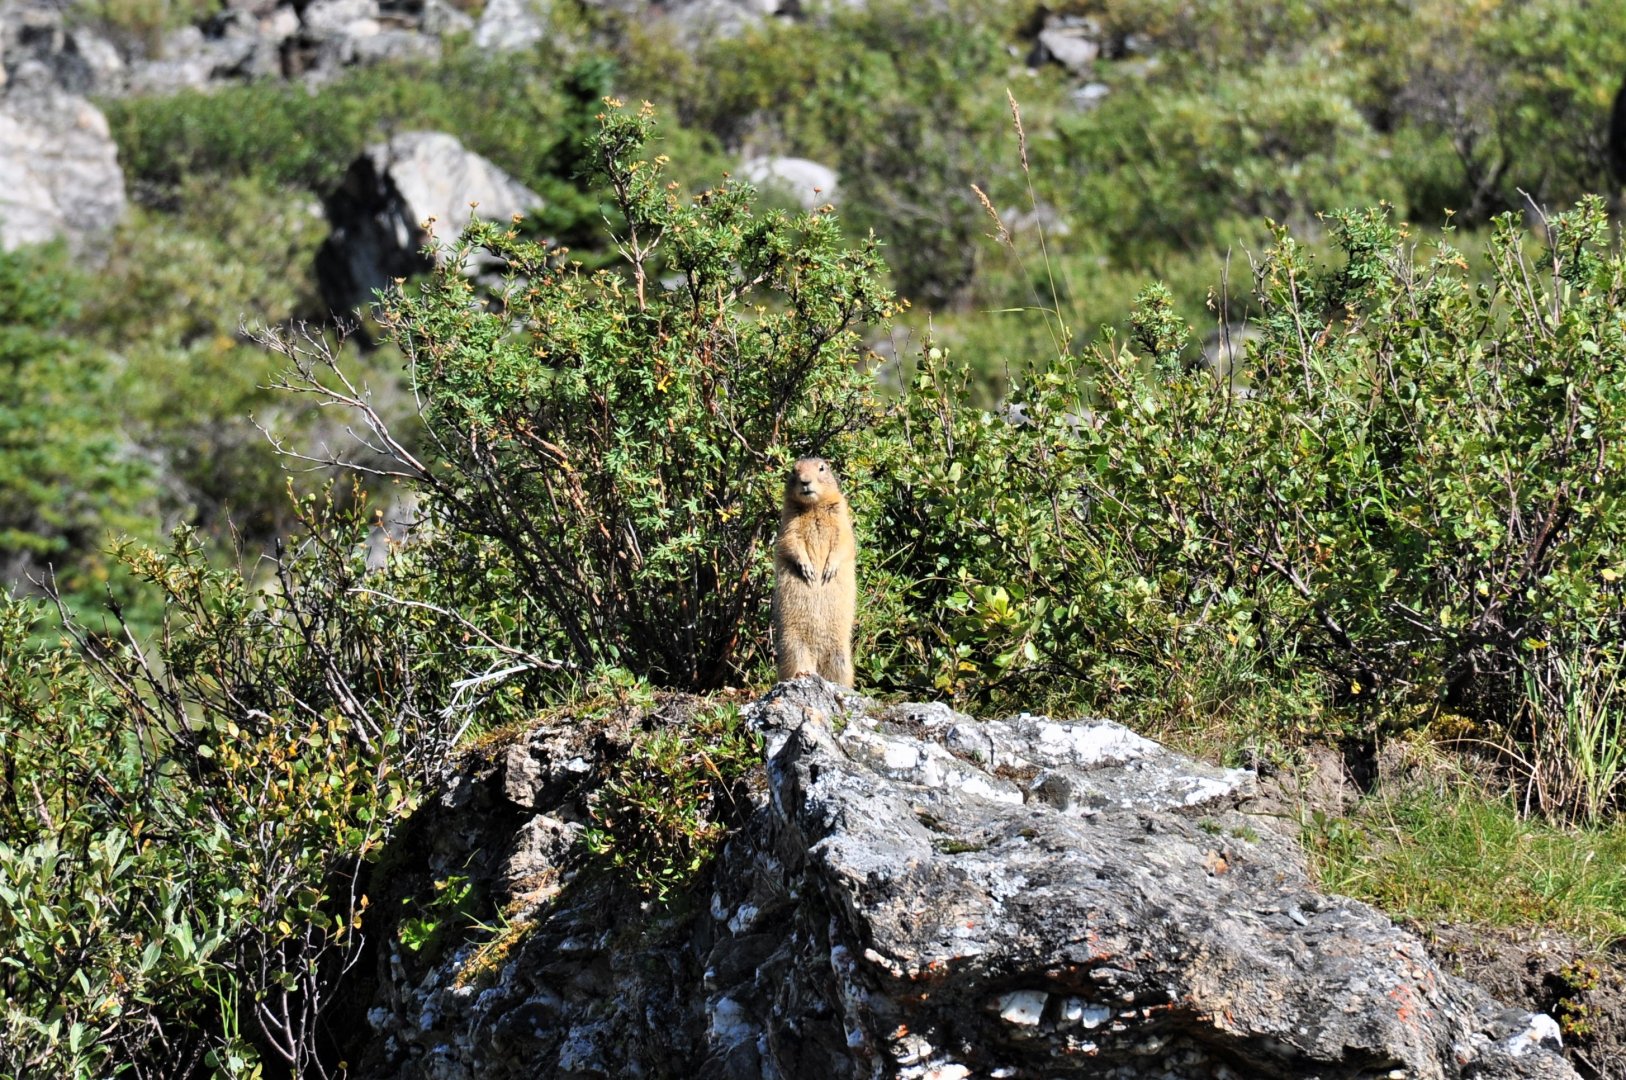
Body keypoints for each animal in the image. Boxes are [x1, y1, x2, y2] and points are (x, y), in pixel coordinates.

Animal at [771, 456, 857, 687]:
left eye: (822, 468)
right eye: (794, 470)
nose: (805, 481)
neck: (813, 506)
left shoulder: (841, 516)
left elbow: (844, 541)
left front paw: (828, 570)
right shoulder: (788, 521)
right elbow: (790, 542)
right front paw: (808, 570)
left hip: (841, 656)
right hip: (794, 646)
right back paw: (802, 675)